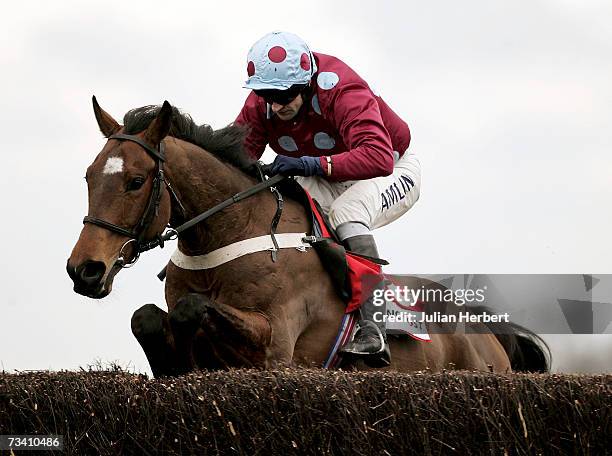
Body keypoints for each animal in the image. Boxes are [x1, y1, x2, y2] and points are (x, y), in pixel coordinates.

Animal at [67, 100, 548, 378]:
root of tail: (486, 332)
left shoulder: (274, 342)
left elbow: (191, 307)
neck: (229, 234)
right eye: (88, 176)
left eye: (135, 181)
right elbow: (145, 317)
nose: (84, 270)